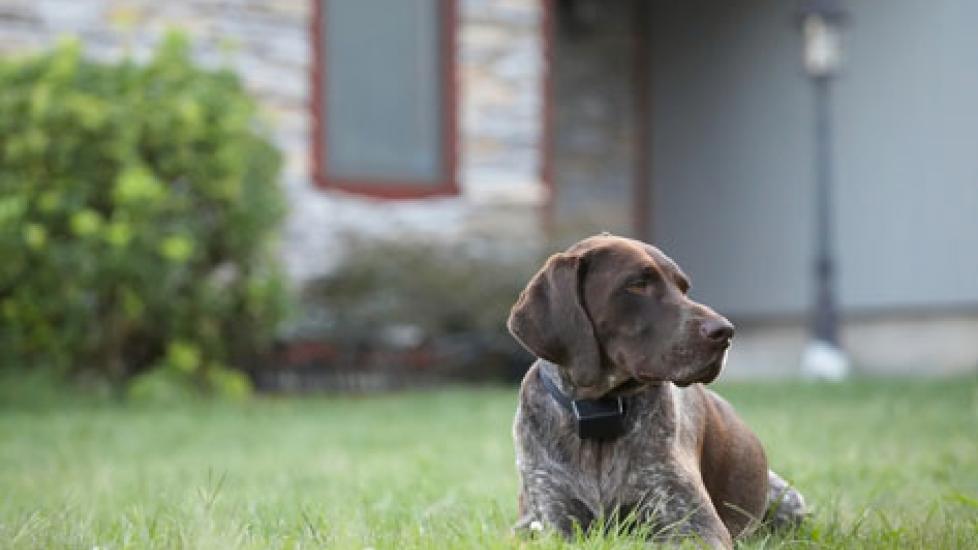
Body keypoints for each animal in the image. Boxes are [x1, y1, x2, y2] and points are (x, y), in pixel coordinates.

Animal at [508, 235, 804, 548]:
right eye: (637, 284)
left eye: (683, 287)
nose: (725, 332)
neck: (600, 413)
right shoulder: (559, 523)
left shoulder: (697, 524)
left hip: (789, 500)